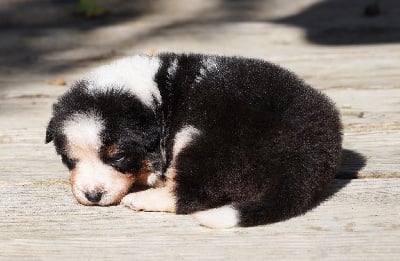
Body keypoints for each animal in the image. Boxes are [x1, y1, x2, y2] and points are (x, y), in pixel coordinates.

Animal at [46, 53, 340, 228]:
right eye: (69, 159)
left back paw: (141, 200)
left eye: (118, 156)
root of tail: (304, 159)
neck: (157, 102)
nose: (92, 196)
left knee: (192, 194)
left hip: (201, 140)